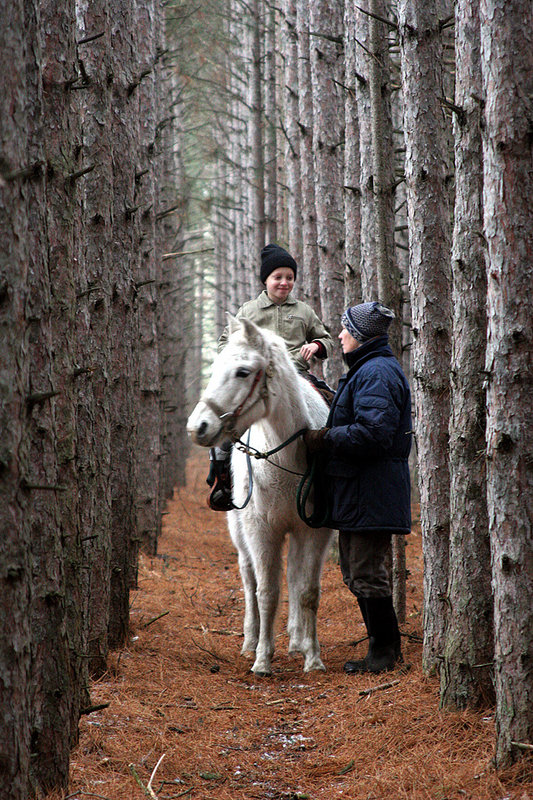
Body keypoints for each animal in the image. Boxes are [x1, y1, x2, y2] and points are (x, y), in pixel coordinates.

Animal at [185, 318, 330, 676]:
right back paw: (251, 641)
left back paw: (296, 642)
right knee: (249, 582)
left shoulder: (314, 531)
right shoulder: (261, 531)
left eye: (242, 372)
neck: (286, 458)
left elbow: (307, 591)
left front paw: (313, 657)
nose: (198, 427)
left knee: (293, 578)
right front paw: (263, 658)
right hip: (240, 534)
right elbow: (266, 593)